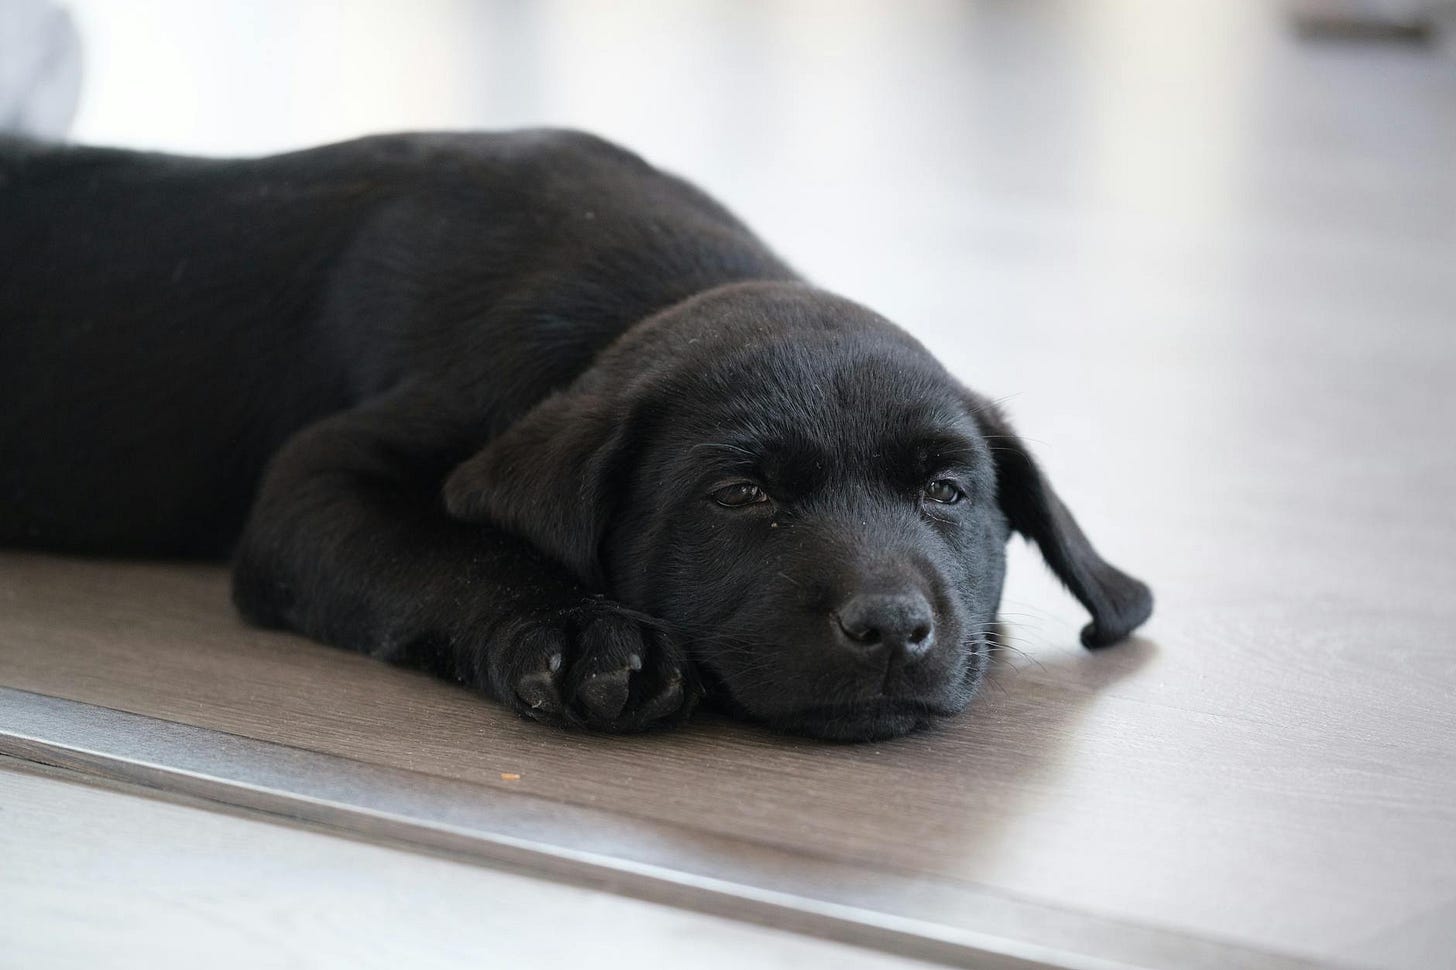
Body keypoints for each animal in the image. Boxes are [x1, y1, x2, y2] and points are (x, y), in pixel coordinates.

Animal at [5, 126, 1153, 734]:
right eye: (742, 495)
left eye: (946, 492)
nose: (891, 627)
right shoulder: (317, 477)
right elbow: (448, 547)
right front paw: (578, 632)